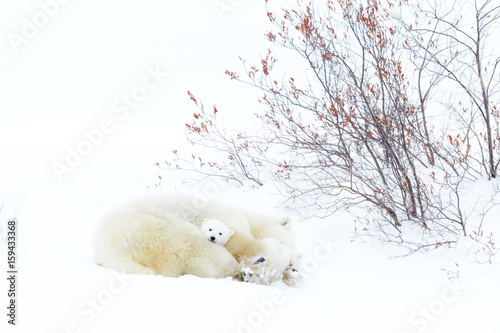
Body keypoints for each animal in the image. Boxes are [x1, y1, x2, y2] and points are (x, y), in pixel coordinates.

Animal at [92, 192, 298, 282]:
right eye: (283, 241)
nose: (292, 263)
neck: (250, 218)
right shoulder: (228, 217)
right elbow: (239, 241)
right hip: (154, 231)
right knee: (200, 248)